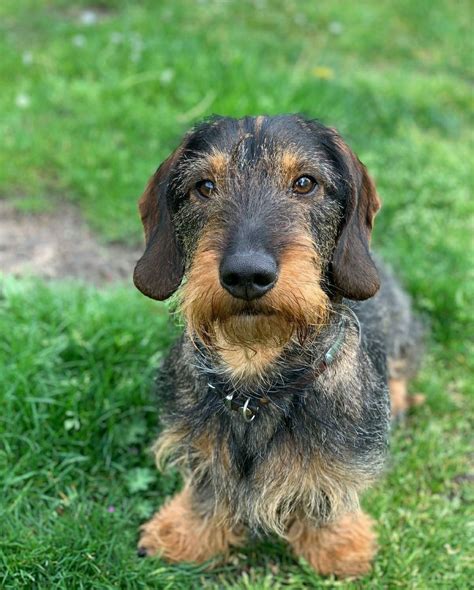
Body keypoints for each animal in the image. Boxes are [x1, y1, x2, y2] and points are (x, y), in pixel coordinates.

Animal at [132, 114, 422, 580]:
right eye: (204, 186)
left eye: (305, 183)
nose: (246, 274)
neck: (255, 382)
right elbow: (207, 482)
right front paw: (190, 534)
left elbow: (329, 491)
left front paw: (335, 546)